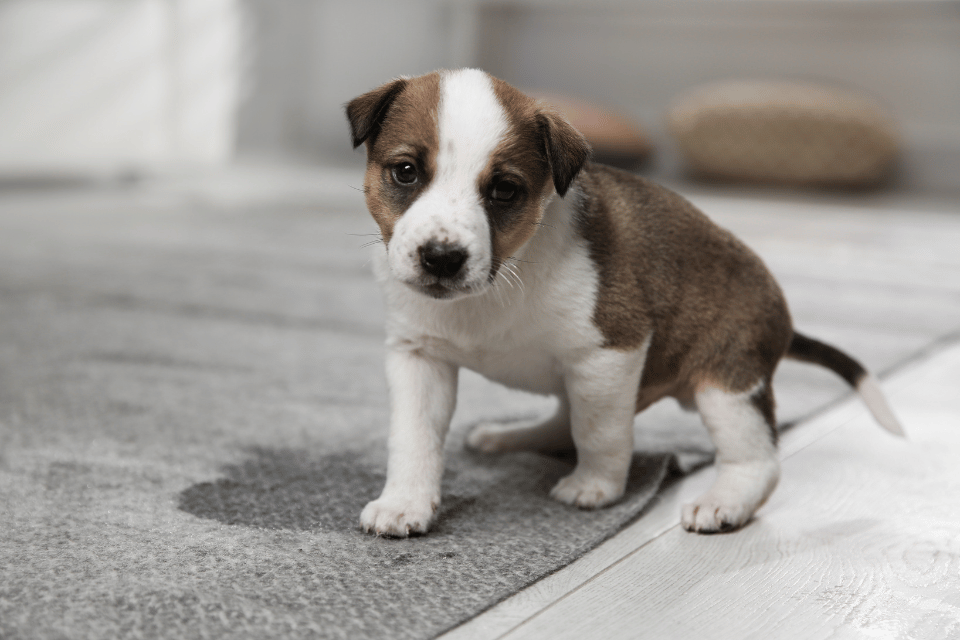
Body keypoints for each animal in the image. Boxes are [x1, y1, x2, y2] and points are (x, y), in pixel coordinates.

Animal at [346, 70, 908, 536]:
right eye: (405, 171)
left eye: (505, 190)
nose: (442, 258)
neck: (503, 279)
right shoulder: (418, 357)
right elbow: (413, 439)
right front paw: (404, 502)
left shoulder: (609, 354)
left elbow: (600, 432)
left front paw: (596, 486)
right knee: (561, 420)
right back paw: (511, 436)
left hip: (727, 386)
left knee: (757, 460)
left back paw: (725, 501)